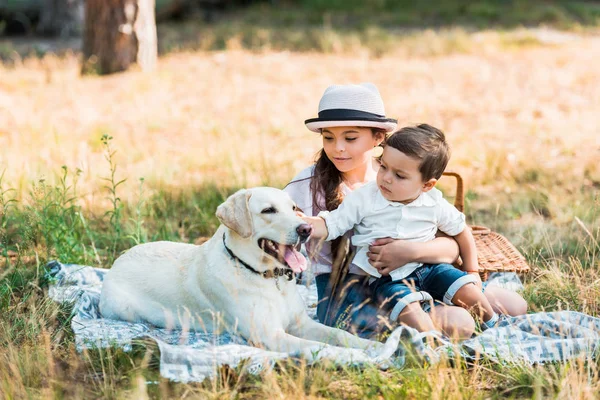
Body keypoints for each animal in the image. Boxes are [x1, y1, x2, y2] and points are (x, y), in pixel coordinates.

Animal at [99, 187, 384, 360]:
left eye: (294, 208)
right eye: (268, 210)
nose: (306, 229)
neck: (267, 277)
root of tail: (119, 258)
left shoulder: (301, 323)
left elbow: (339, 334)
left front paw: (374, 346)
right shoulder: (270, 336)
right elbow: (317, 347)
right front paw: (350, 356)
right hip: (124, 309)